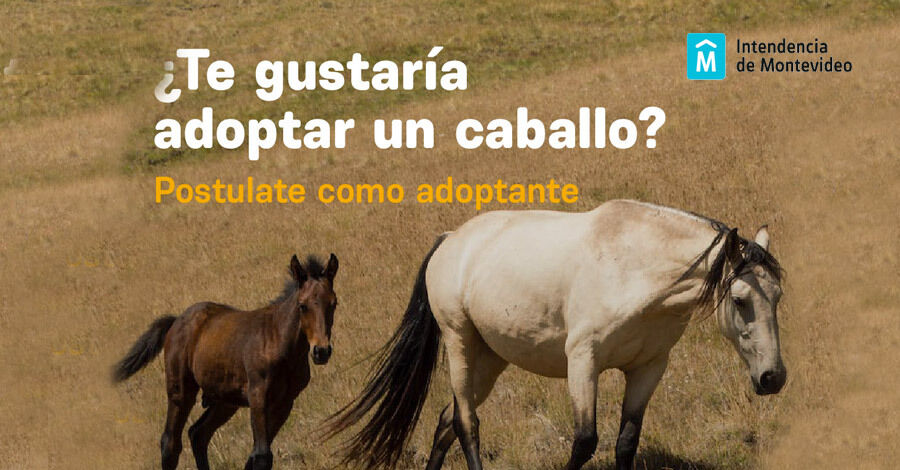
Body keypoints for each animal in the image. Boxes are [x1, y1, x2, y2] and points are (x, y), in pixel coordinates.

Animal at [113, 254, 339, 470]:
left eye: (333, 303)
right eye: (303, 305)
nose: (321, 351)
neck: (279, 341)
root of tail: (176, 320)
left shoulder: (286, 402)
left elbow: (254, 456)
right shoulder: (258, 395)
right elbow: (262, 457)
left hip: (225, 400)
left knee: (198, 434)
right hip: (181, 390)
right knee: (170, 443)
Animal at [325, 199, 786, 470]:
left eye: (778, 296)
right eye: (740, 300)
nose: (772, 378)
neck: (632, 266)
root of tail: (450, 240)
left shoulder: (648, 367)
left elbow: (625, 442)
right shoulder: (583, 361)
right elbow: (585, 441)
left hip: (490, 358)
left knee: (445, 421)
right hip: (460, 344)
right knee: (466, 423)